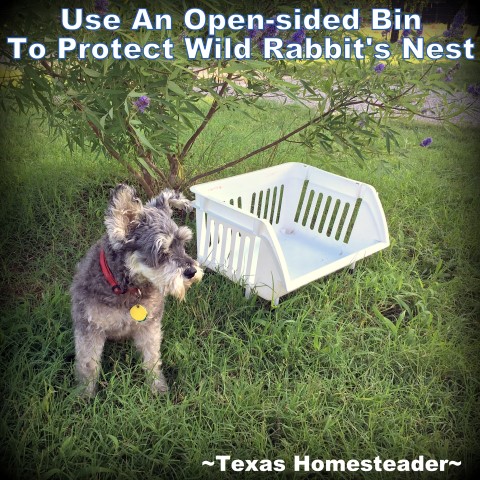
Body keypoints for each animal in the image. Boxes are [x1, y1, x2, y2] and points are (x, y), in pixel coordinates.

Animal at [70, 182, 202, 396]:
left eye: (183, 243)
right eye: (161, 251)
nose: (192, 271)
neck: (126, 289)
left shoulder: (149, 327)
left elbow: (152, 358)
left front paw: (157, 388)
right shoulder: (89, 329)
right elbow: (88, 365)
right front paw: (84, 396)